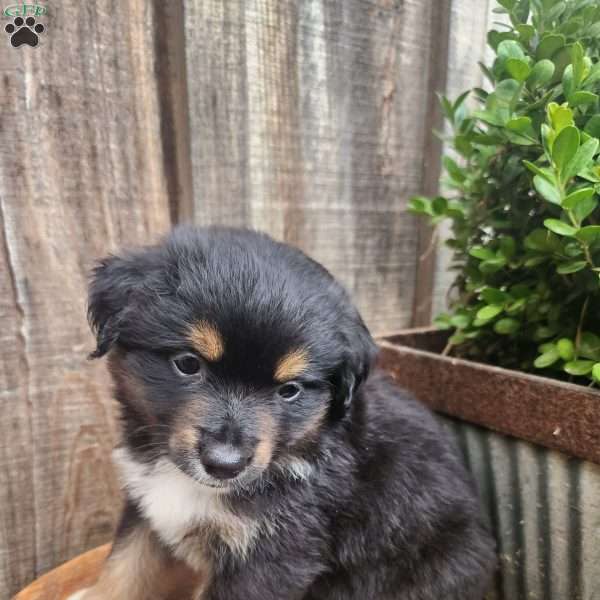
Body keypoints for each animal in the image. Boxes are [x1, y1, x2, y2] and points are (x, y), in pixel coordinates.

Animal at [70, 226, 494, 600]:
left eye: (289, 390)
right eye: (188, 364)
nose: (225, 464)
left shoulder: (275, 554)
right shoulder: (146, 504)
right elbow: (124, 567)